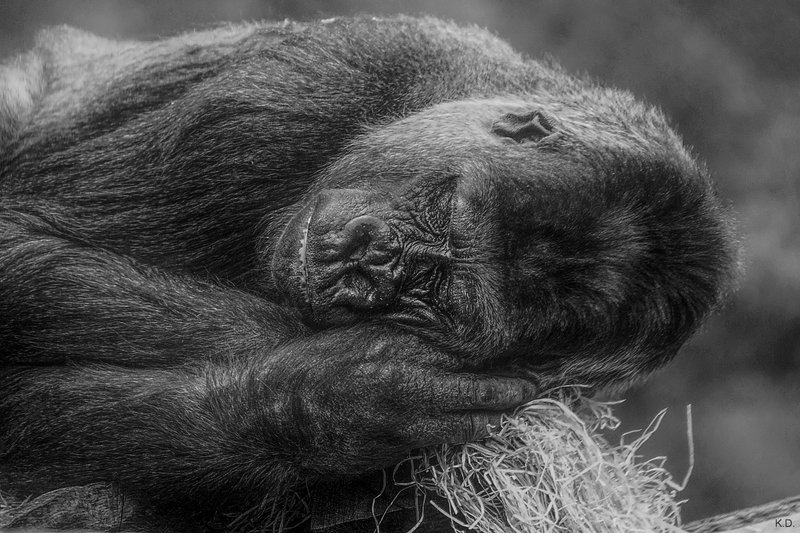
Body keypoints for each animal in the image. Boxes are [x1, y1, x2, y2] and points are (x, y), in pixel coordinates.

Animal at [0, 15, 738, 532]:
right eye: (448, 207)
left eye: (441, 291)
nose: (371, 261)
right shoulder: (290, 93)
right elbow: (18, 244)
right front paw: (334, 397)